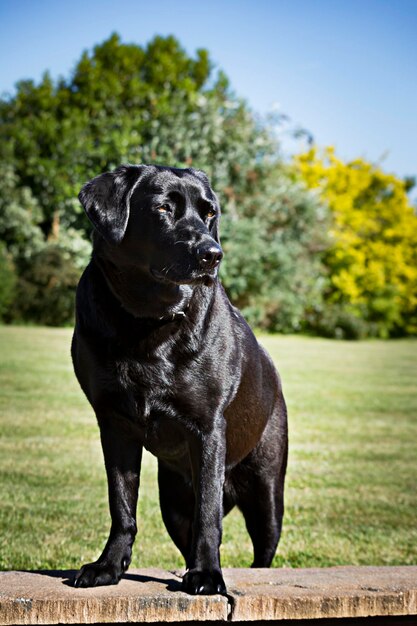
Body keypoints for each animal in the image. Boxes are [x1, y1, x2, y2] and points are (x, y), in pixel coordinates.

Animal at [70, 163, 286, 592]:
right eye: (163, 208)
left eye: (209, 213)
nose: (212, 254)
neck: (148, 321)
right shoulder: (114, 425)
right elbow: (121, 505)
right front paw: (108, 566)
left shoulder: (207, 428)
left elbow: (208, 514)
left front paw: (208, 575)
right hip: (171, 500)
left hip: (268, 491)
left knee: (263, 550)